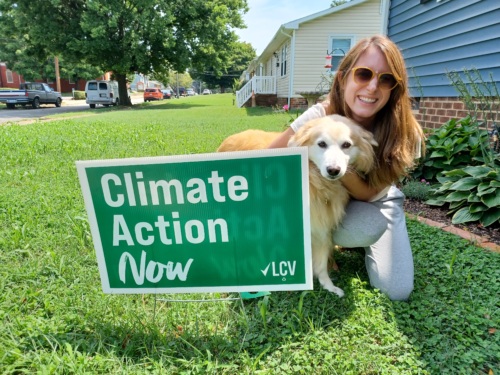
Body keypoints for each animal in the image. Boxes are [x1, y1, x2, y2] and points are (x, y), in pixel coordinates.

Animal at [217, 114, 376, 296]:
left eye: (346, 145)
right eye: (322, 144)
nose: (333, 170)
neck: (315, 181)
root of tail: (230, 138)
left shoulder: (322, 228)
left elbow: (321, 265)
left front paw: (328, 286)